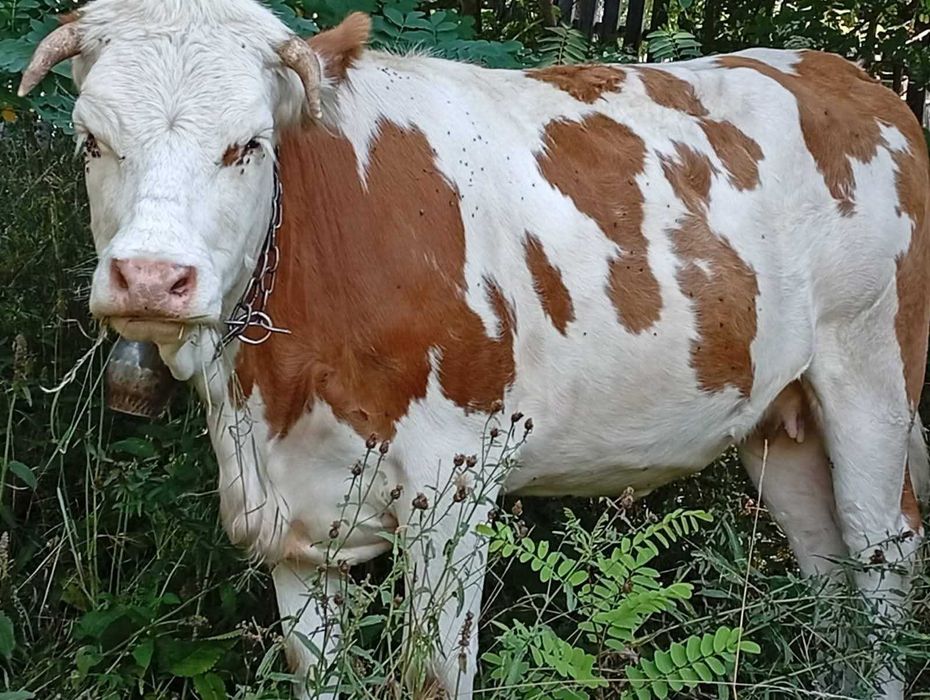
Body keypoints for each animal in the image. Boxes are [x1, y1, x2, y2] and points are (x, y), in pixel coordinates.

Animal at [19, 1, 930, 697]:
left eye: (248, 146)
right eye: (90, 142)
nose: (150, 276)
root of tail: (852, 78)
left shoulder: (452, 491)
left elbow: (432, 677)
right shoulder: (287, 519)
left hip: (872, 378)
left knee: (881, 562)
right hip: (782, 421)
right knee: (825, 573)